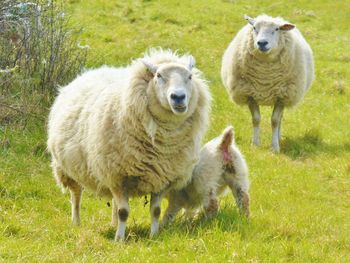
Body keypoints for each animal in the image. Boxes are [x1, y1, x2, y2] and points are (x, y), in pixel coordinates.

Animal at [46, 48, 211, 242]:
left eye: (190, 76)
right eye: (158, 75)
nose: (178, 97)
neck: (161, 146)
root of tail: (90, 72)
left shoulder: (161, 178)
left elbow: (155, 211)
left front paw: (153, 235)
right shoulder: (117, 176)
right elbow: (124, 212)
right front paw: (119, 239)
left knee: (113, 202)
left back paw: (113, 224)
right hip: (67, 169)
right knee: (76, 195)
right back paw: (76, 222)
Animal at [221, 14, 314, 154]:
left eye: (276, 29)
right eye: (254, 28)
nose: (262, 43)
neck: (265, 77)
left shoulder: (282, 96)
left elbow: (275, 121)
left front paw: (275, 147)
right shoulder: (250, 94)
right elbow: (256, 119)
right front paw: (255, 144)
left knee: (280, 119)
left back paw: (278, 138)